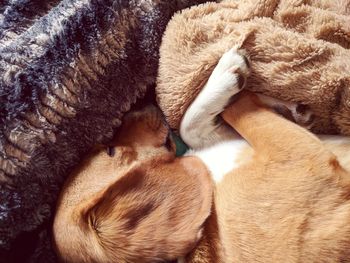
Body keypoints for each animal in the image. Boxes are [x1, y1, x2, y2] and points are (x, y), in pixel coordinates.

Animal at [53, 48, 350, 262]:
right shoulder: (301, 157)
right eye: (111, 150)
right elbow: (241, 107)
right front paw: (230, 74)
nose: (135, 106)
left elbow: (190, 124)